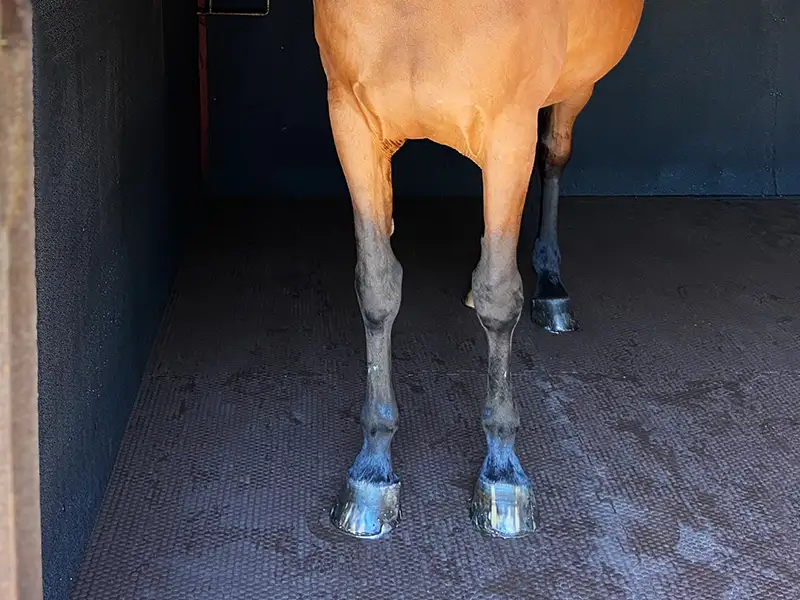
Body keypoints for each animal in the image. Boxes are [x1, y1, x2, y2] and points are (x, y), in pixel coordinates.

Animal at [314, 0, 644, 538]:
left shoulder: (511, 129)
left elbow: (500, 297)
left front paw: (502, 472)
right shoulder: (352, 125)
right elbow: (378, 288)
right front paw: (372, 470)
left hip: (571, 94)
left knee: (552, 158)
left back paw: (551, 288)